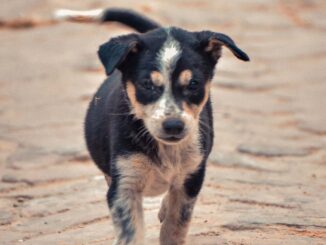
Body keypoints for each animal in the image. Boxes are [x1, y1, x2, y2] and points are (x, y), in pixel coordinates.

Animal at [56, 7, 250, 245]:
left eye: (193, 84)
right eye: (147, 84)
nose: (174, 125)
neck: (164, 148)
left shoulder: (191, 180)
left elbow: (175, 227)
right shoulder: (124, 185)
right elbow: (131, 232)